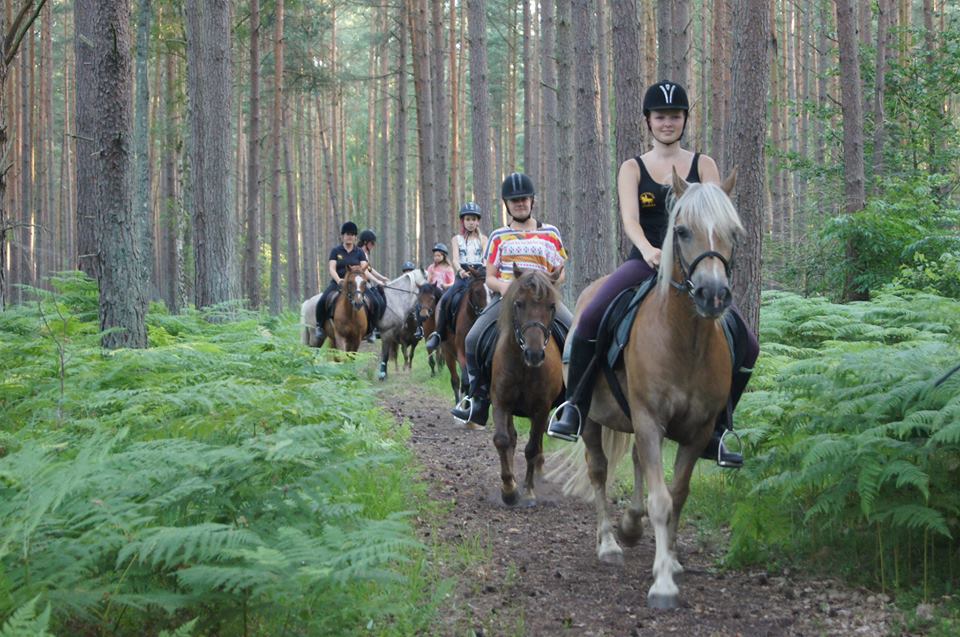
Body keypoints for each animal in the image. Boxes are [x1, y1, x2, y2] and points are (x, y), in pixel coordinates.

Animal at [492, 266, 568, 504]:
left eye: (551, 305)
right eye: (519, 303)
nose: (534, 354)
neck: (524, 367)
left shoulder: (541, 407)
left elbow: (532, 447)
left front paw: (528, 490)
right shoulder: (500, 401)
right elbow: (502, 440)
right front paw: (509, 489)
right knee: (512, 438)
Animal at [548, 169, 744, 608]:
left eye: (733, 232)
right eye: (682, 230)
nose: (713, 294)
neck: (685, 342)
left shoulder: (697, 430)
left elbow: (678, 496)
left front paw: (670, 561)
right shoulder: (651, 419)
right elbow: (661, 500)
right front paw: (663, 585)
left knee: (637, 459)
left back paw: (631, 526)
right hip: (592, 419)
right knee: (599, 469)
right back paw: (609, 544)